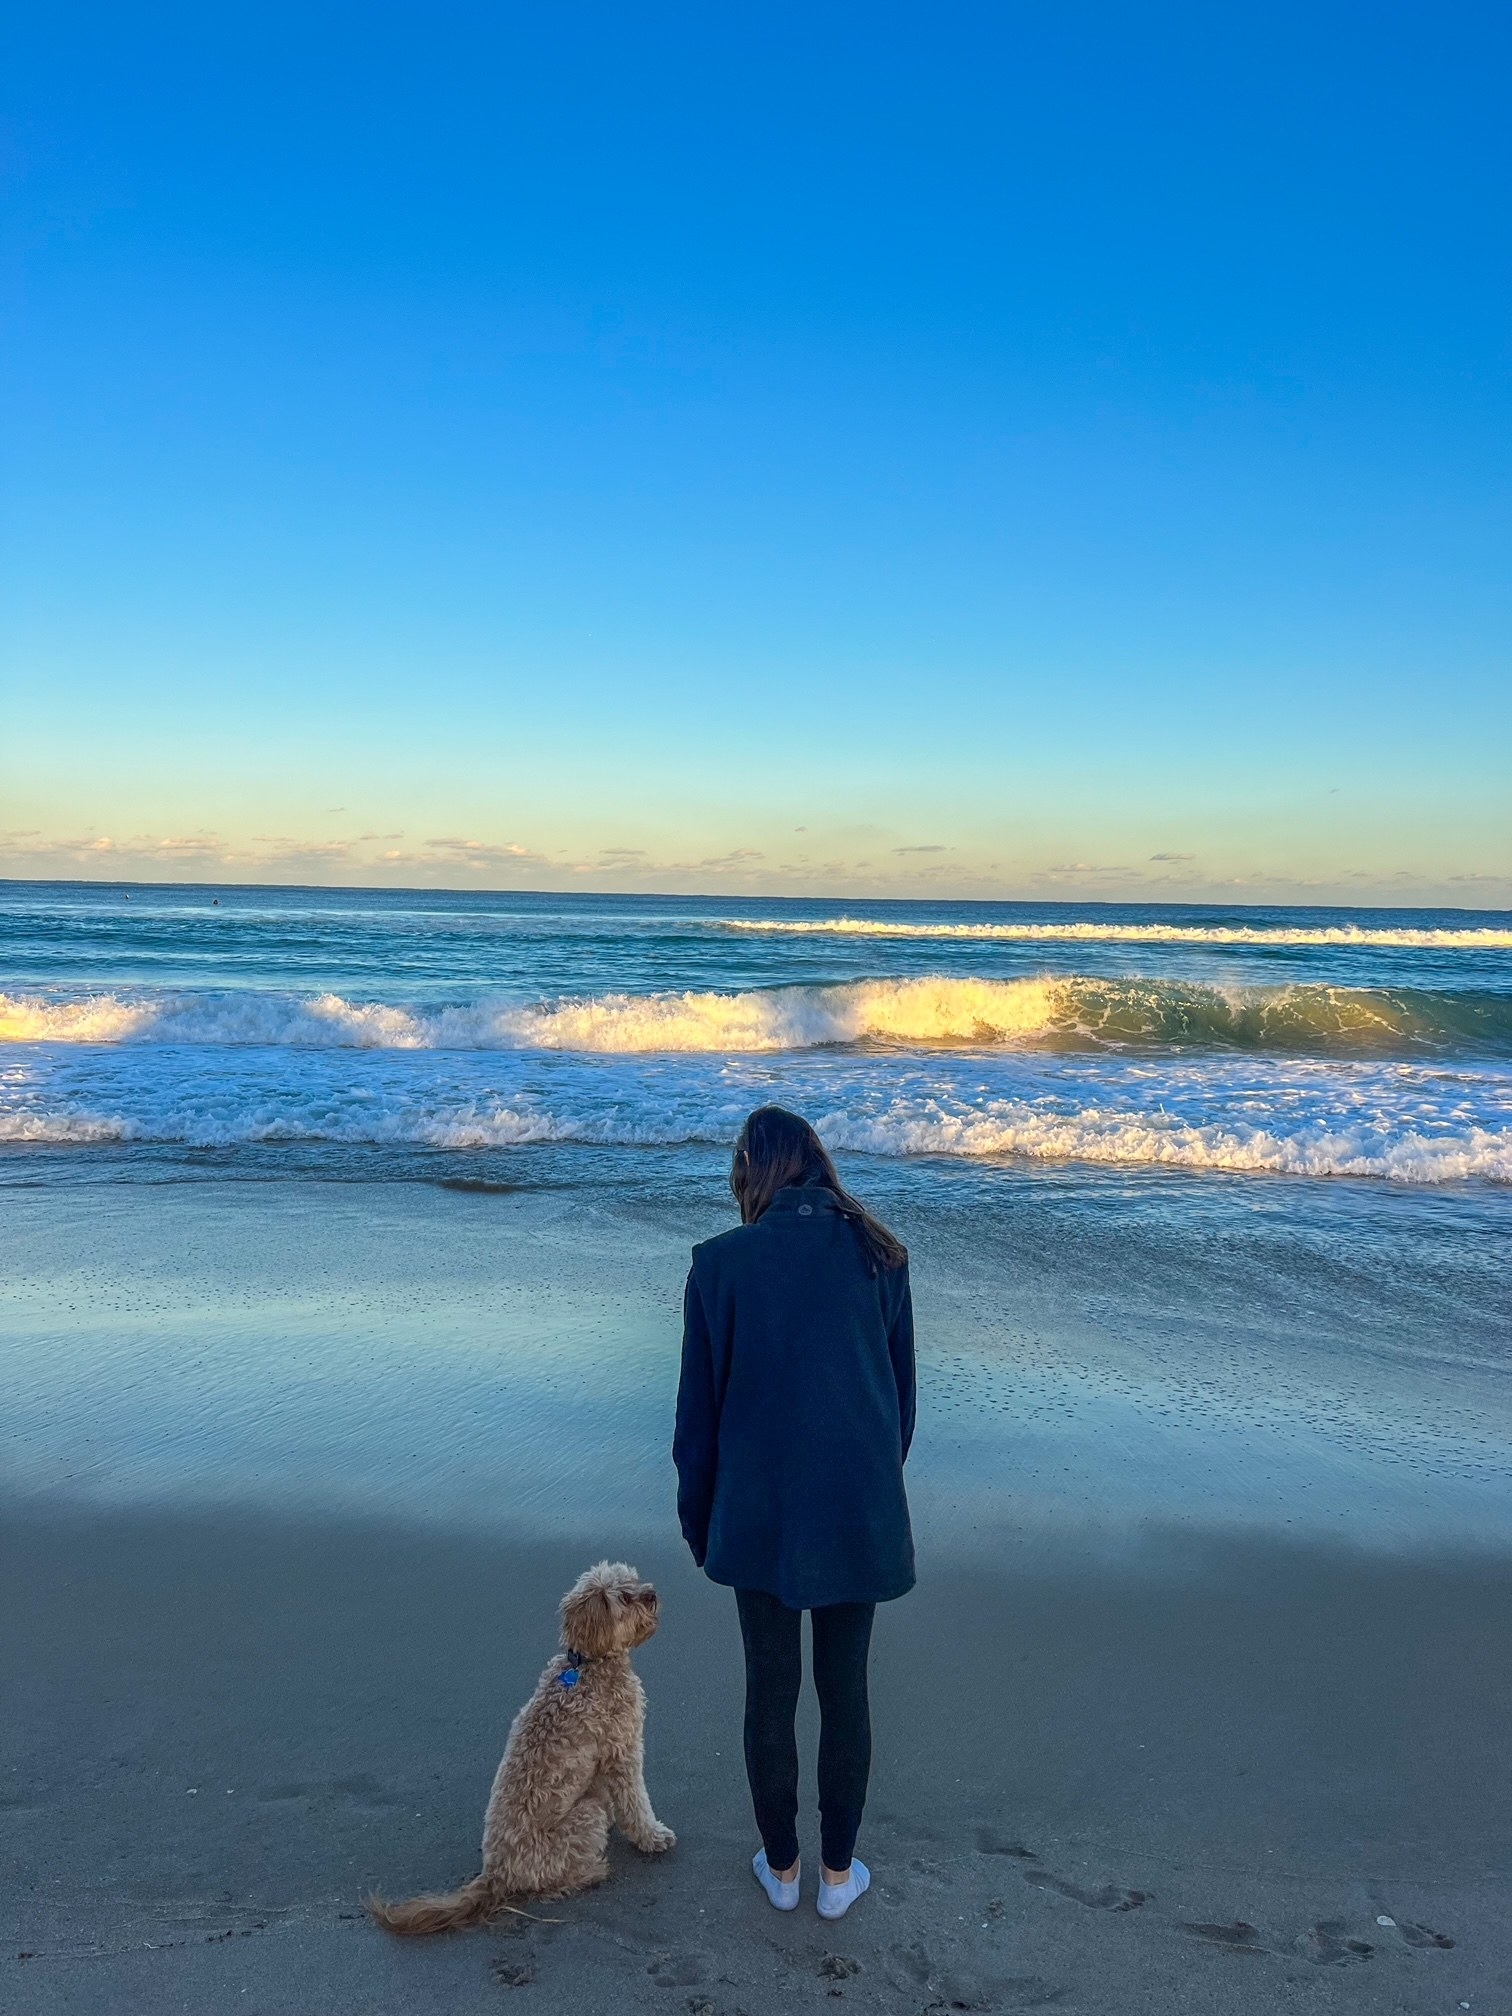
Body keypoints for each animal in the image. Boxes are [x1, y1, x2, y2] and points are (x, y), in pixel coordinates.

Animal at [366, 1556, 673, 1935]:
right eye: (626, 1598)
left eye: (635, 1580)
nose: (652, 1594)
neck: (588, 1664)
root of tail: (497, 1875)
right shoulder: (622, 1749)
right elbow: (636, 1802)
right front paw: (653, 1836)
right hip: (584, 1817)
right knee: (549, 1886)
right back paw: (591, 1872)